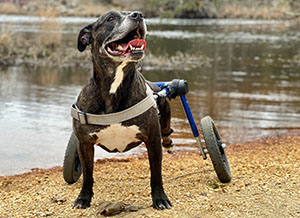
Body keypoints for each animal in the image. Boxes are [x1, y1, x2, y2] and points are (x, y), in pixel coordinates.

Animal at [71, 10, 172, 209]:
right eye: (110, 18)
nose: (138, 15)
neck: (114, 85)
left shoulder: (153, 139)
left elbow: (156, 173)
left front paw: (160, 198)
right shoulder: (84, 143)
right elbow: (87, 174)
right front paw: (83, 198)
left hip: (165, 115)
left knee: (166, 131)